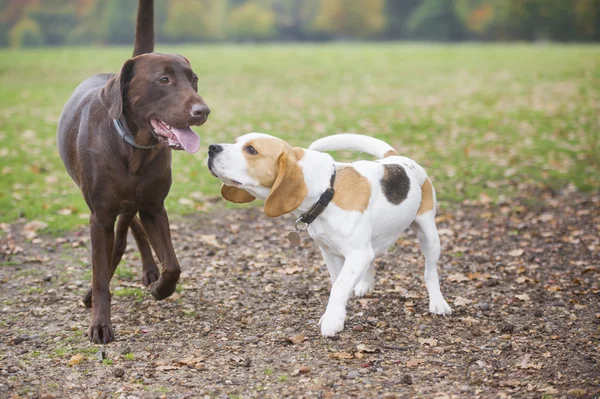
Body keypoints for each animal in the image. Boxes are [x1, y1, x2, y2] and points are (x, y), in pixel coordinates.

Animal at [56, 0, 210, 344]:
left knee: (128, 232)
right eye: (163, 80)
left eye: (194, 79)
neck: (135, 149)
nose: (203, 111)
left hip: (133, 203)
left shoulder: (154, 206)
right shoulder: (99, 216)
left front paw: (161, 288)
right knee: (116, 244)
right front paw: (100, 323)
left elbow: (173, 265)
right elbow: (101, 275)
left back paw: (148, 271)